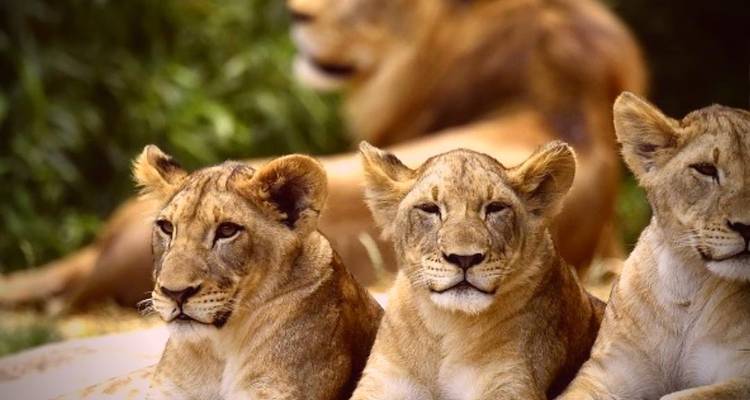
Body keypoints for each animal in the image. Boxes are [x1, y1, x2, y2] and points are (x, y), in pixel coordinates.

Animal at [352, 141, 605, 399]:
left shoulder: (511, 382)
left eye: (496, 208)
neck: (446, 325)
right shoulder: (383, 380)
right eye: (429, 208)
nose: (464, 258)